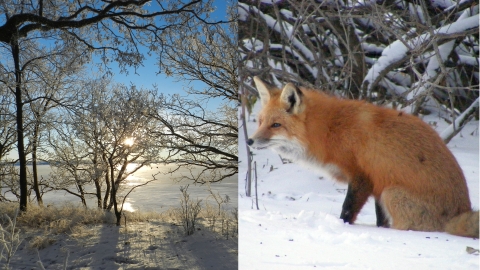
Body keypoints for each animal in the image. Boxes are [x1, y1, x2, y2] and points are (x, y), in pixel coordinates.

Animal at [249, 76, 478, 238]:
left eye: (276, 125)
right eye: (260, 122)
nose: (250, 141)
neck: (330, 130)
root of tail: (462, 210)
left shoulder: (363, 178)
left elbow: (347, 210)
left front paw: (343, 227)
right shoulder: (378, 181)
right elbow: (380, 221)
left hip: (392, 193)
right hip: (386, 193)